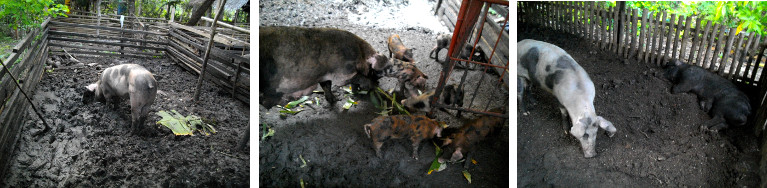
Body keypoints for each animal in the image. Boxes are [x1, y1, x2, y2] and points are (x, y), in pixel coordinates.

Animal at [260, 26, 390, 108]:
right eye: (373, 71)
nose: (378, 83)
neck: (359, 55)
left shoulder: (324, 75)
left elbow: (326, 86)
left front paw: (335, 100)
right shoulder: (342, 73)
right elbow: (355, 78)